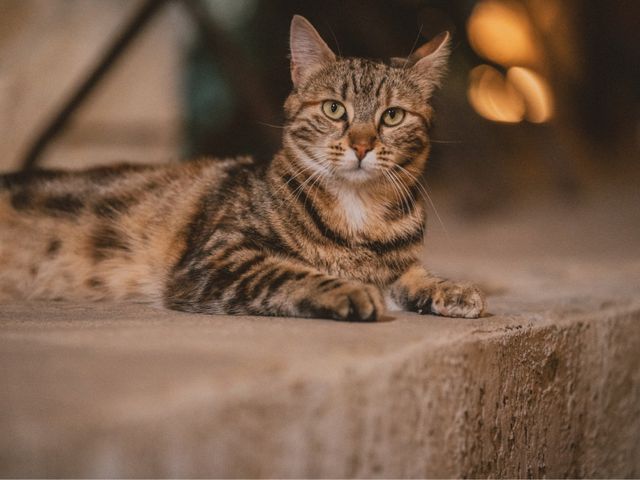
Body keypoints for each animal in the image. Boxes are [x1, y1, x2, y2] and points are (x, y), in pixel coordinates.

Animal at [0, 15, 484, 322]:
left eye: (393, 117)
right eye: (334, 109)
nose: (362, 145)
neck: (358, 214)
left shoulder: (397, 265)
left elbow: (414, 274)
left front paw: (452, 288)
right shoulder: (219, 258)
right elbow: (289, 272)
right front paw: (347, 289)